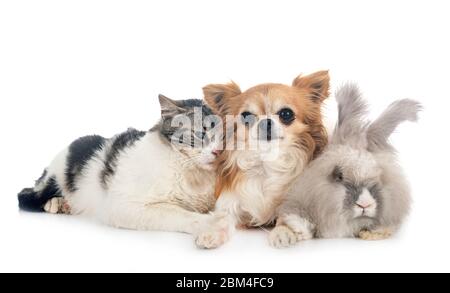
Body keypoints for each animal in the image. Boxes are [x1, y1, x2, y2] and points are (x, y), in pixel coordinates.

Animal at [17, 94, 225, 238]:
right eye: (201, 134)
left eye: (226, 136)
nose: (218, 152)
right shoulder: (122, 206)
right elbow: (180, 214)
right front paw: (210, 223)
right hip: (52, 178)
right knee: (27, 195)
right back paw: (57, 203)